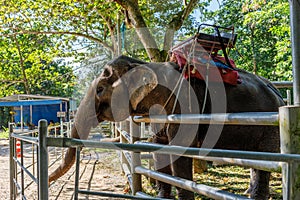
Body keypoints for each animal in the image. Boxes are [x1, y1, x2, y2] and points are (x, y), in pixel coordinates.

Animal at [48, 55, 284, 200]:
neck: (140, 64)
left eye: (100, 89)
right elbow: (158, 147)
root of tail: (279, 95)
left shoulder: (183, 107)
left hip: (270, 125)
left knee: (264, 162)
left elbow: (179, 152)